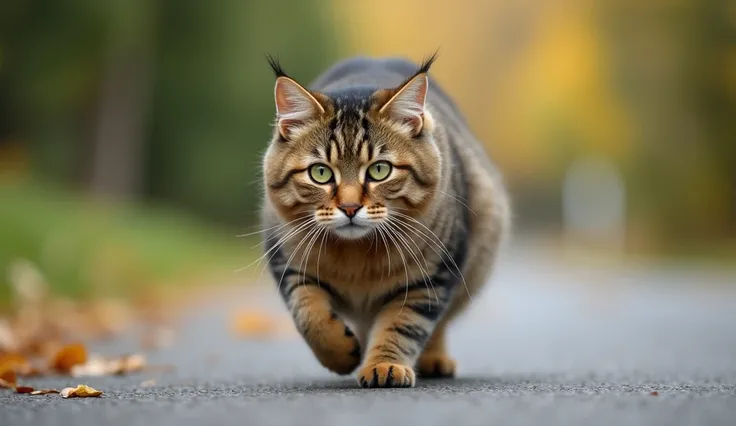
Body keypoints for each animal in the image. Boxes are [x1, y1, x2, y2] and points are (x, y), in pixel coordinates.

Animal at [260, 52, 512, 386]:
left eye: (380, 170)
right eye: (320, 173)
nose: (350, 207)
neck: (355, 258)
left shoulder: (430, 278)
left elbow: (402, 327)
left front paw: (384, 365)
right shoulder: (288, 265)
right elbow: (310, 316)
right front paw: (341, 354)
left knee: (438, 324)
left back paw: (434, 359)